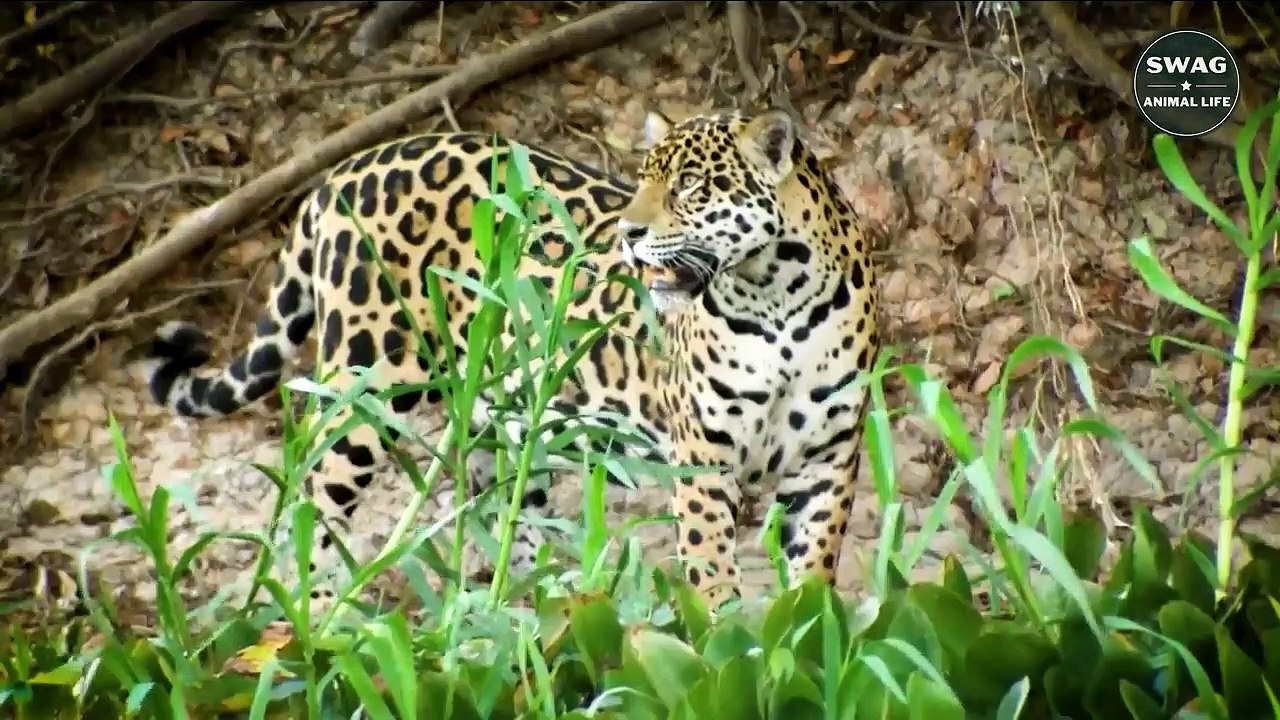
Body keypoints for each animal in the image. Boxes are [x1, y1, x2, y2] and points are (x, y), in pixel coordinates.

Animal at [145, 107, 880, 613]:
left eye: (692, 186)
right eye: (645, 181)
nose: (627, 235)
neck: (776, 300)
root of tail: (338, 175)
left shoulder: (830, 455)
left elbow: (814, 568)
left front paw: (804, 641)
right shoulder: (702, 454)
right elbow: (711, 568)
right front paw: (725, 639)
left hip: (497, 409)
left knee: (501, 504)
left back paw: (535, 602)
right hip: (368, 383)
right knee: (310, 489)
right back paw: (319, 618)